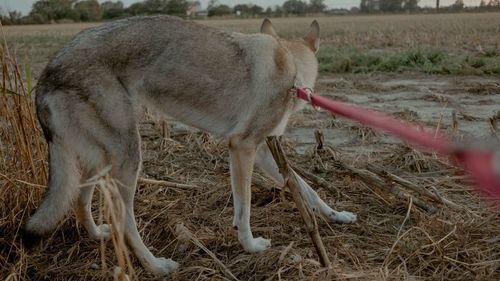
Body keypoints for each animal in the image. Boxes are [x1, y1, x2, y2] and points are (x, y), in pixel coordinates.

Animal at [24, 15, 356, 276]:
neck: (290, 64)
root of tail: (47, 73)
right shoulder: (243, 147)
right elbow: (246, 207)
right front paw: (250, 245)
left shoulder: (262, 152)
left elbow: (306, 189)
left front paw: (337, 215)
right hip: (128, 157)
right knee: (122, 219)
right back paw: (155, 266)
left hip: (100, 160)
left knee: (81, 202)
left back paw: (96, 235)